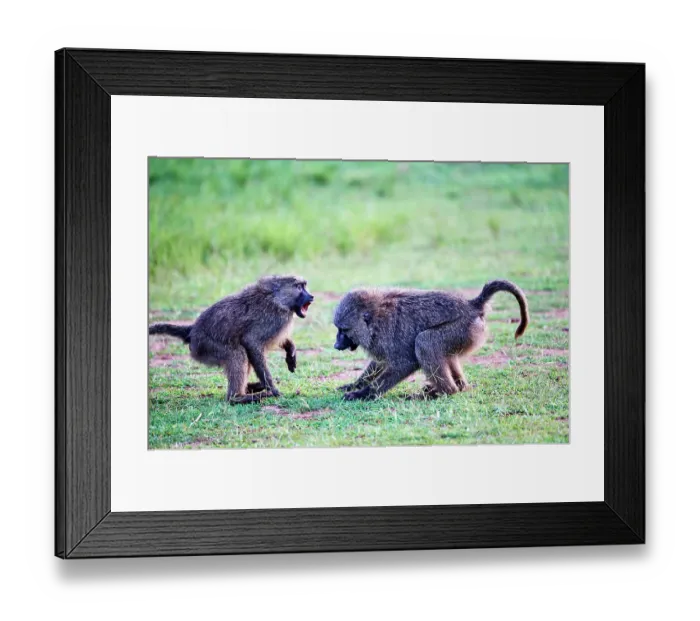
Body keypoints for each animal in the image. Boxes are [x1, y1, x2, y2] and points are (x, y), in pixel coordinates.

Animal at [148, 275, 314, 404]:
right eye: (299, 287)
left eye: (304, 286)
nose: (312, 296)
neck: (277, 298)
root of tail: (193, 330)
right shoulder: (275, 319)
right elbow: (251, 342)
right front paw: (273, 389)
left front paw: (290, 352)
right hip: (205, 346)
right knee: (238, 353)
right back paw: (239, 397)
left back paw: (251, 388)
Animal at [333, 280, 529, 401]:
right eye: (338, 328)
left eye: (344, 330)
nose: (336, 345)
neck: (375, 318)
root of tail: (472, 305)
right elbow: (380, 362)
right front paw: (354, 385)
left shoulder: (387, 335)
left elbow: (405, 363)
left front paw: (362, 394)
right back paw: (458, 387)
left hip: (462, 329)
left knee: (424, 341)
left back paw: (442, 393)